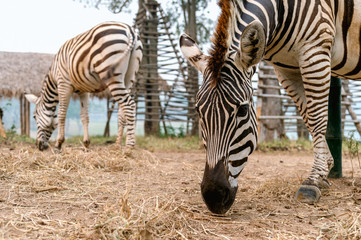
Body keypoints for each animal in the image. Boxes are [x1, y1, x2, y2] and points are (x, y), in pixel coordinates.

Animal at [25, 21, 142, 151]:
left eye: (34, 117)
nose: (39, 145)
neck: (54, 77)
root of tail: (129, 29)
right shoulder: (83, 91)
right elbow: (84, 116)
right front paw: (86, 143)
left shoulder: (63, 84)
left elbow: (61, 113)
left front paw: (59, 143)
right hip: (129, 77)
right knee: (123, 109)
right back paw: (117, 144)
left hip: (113, 76)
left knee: (129, 104)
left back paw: (129, 146)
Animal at [179, 0, 360, 214]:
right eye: (198, 111)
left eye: (242, 110)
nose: (213, 196)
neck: (282, 10)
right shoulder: (286, 69)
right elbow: (308, 117)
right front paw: (324, 172)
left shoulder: (315, 53)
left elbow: (316, 119)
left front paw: (313, 180)